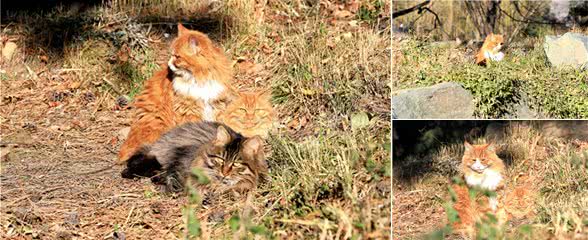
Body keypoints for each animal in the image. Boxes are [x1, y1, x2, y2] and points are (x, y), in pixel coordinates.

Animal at [117, 23, 237, 163]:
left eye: (178, 57)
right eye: (171, 55)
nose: (169, 63)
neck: (199, 79)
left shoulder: (216, 106)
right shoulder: (189, 111)